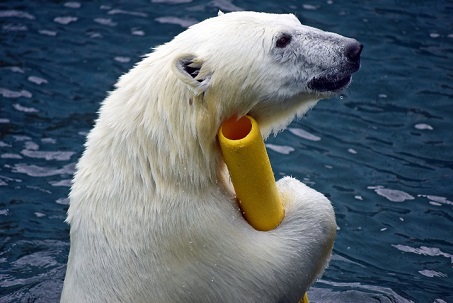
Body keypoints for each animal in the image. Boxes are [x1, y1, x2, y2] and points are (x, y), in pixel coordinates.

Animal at [61, 10, 362, 303]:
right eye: (282, 40)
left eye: (294, 20)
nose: (352, 49)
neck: (161, 164)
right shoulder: (192, 241)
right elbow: (270, 270)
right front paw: (291, 191)